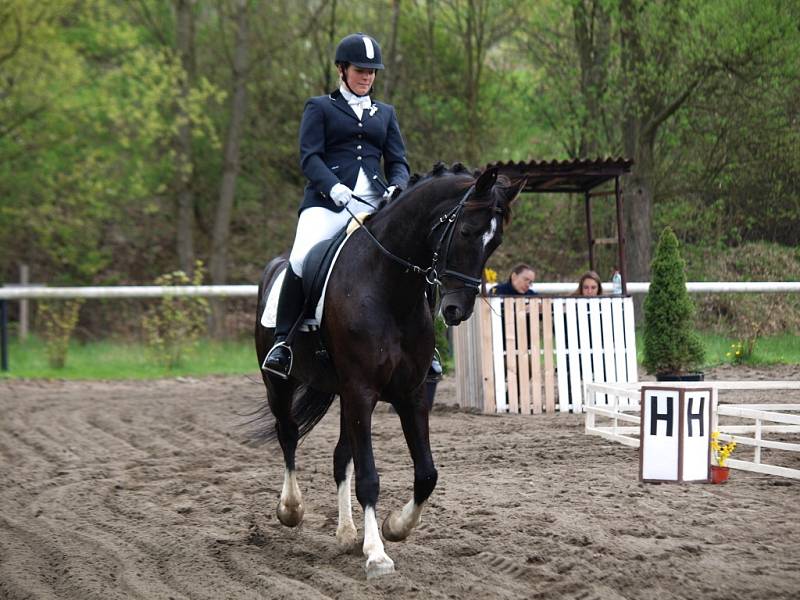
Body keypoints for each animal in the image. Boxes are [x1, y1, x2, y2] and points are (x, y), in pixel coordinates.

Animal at [253, 163, 520, 576]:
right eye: (466, 232)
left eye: (495, 242)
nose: (456, 310)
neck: (389, 287)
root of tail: (275, 266)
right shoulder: (362, 391)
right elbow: (369, 477)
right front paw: (377, 553)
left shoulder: (410, 394)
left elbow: (426, 473)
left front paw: (395, 527)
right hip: (279, 384)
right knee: (289, 434)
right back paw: (291, 509)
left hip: (341, 393)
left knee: (339, 456)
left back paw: (347, 533)